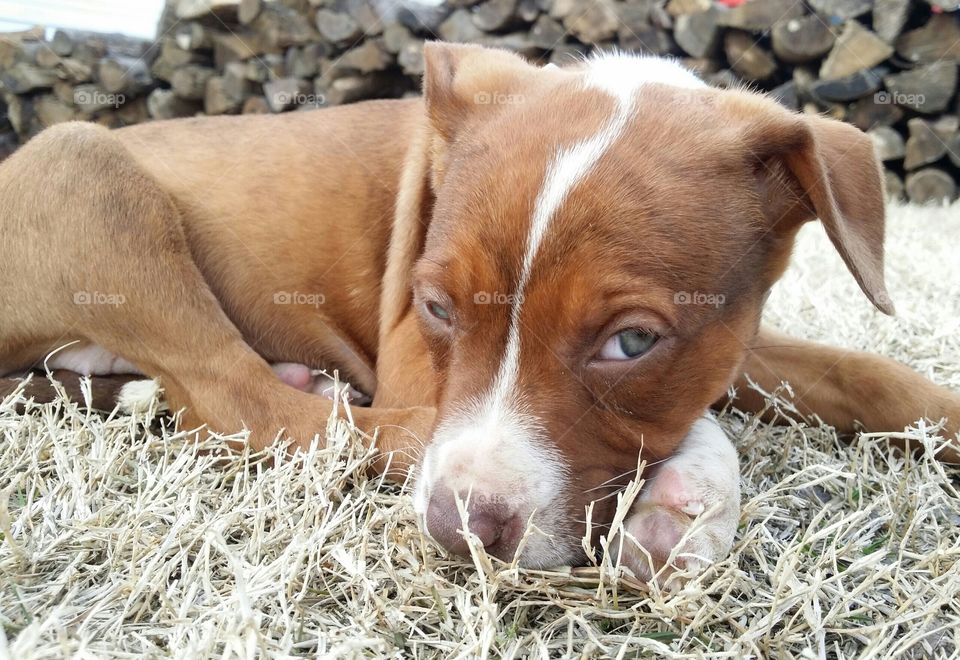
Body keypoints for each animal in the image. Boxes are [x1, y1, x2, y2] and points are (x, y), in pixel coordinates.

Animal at [0, 42, 956, 576]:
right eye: (436, 307)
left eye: (633, 342)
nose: (458, 529)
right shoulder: (408, 358)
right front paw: (688, 494)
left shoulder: (729, 331)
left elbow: (863, 371)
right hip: (87, 167)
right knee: (241, 404)